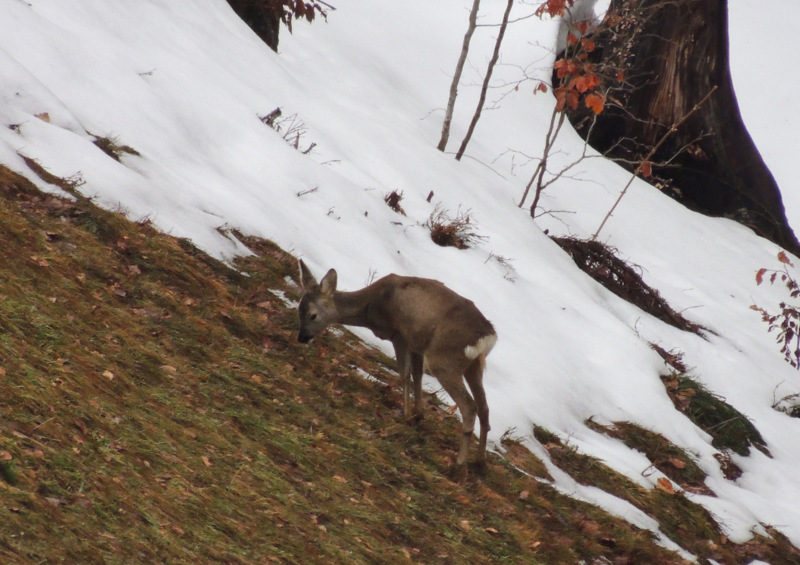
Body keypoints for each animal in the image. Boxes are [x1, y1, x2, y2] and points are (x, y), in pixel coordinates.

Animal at [296, 262, 496, 476]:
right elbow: (417, 376)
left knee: (469, 406)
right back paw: (480, 463)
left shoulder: (399, 334)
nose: (302, 337)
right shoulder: (417, 345)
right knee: (484, 407)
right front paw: (418, 414)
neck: (369, 307)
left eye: (312, 315)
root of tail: (487, 336)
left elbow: (405, 375)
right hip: (473, 365)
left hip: (443, 361)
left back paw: (459, 467)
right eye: (299, 309)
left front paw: (406, 415)